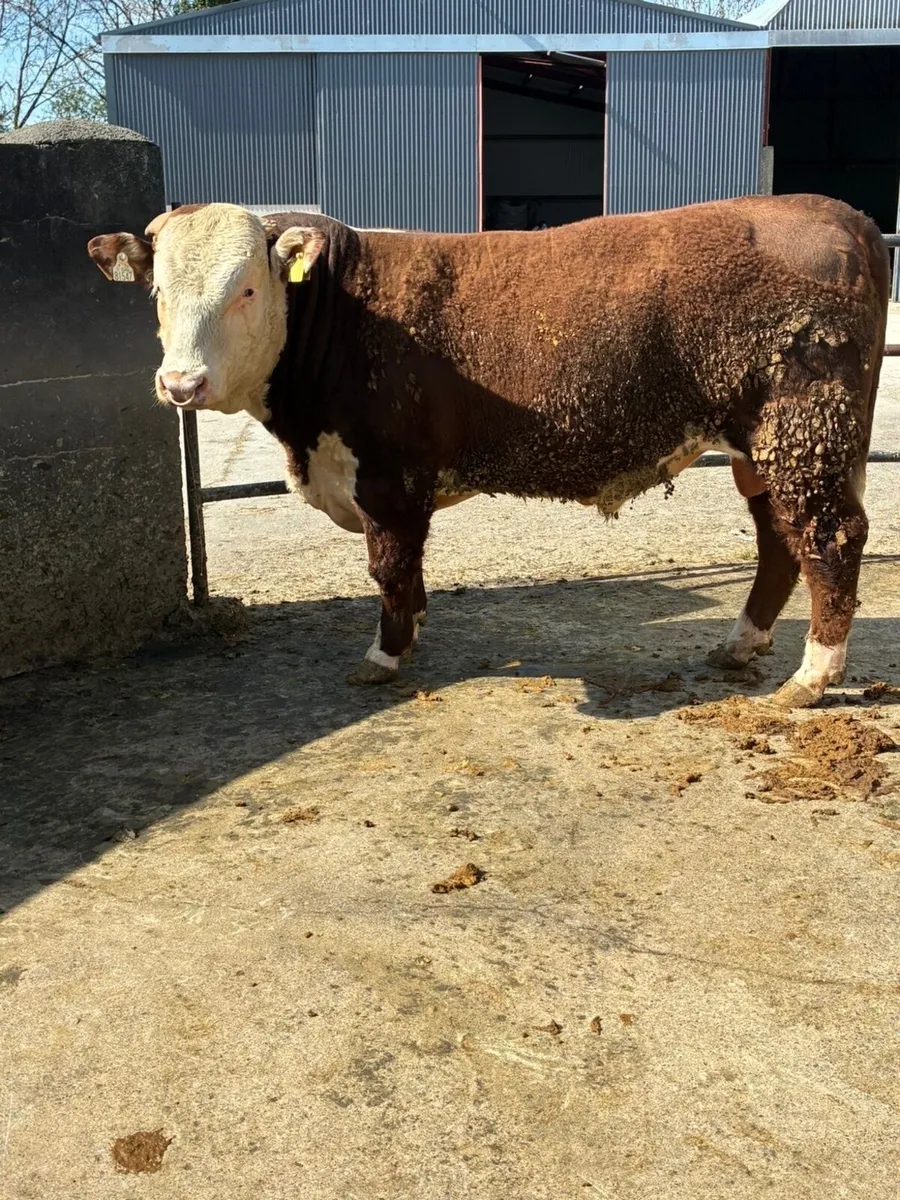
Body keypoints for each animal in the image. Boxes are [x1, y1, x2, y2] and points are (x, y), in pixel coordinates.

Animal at [88, 196, 889, 707]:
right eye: (158, 292)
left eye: (248, 289)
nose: (181, 384)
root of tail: (833, 212)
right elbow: (409, 572)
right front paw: (413, 629)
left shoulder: (389, 477)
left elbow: (388, 567)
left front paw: (384, 655)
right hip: (768, 447)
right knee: (780, 540)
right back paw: (742, 645)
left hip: (803, 429)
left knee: (831, 538)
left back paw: (811, 679)